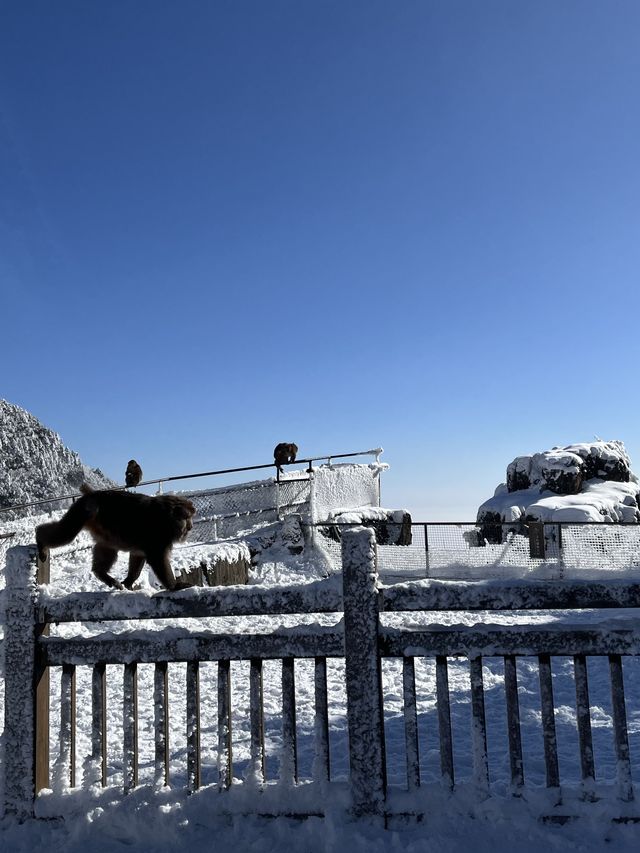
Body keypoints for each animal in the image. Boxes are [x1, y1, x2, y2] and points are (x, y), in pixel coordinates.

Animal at [34, 482, 194, 588]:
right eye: (187, 518)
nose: (191, 527)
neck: (167, 518)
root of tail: (92, 494)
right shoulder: (159, 537)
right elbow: (158, 559)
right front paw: (174, 586)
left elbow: (137, 554)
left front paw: (129, 581)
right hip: (83, 511)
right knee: (66, 533)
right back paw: (39, 537)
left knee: (106, 549)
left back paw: (104, 575)